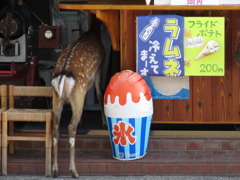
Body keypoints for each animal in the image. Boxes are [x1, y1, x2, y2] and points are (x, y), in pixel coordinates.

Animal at [51, 31, 105, 177]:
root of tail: (63, 76)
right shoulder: (99, 69)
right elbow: (100, 93)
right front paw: (104, 122)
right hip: (78, 92)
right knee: (70, 126)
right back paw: (74, 171)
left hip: (56, 98)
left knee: (55, 129)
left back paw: (55, 170)